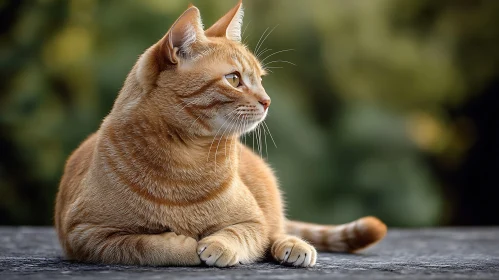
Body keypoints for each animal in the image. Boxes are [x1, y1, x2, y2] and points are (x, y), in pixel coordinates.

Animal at [54, 1, 386, 268]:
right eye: (234, 79)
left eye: (260, 79)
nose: (267, 101)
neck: (187, 158)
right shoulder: (86, 234)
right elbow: (143, 244)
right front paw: (185, 246)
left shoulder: (252, 221)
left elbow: (239, 233)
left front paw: (216, 244)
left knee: (275, 231)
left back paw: (293, 246)